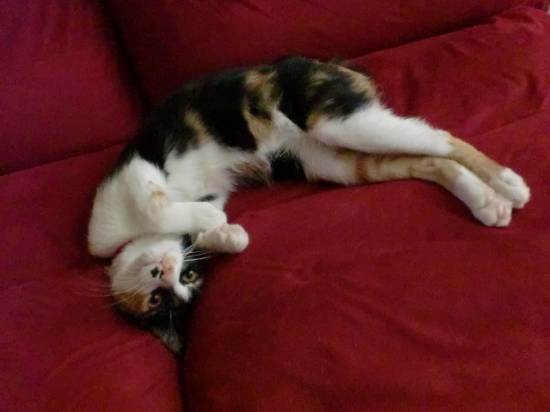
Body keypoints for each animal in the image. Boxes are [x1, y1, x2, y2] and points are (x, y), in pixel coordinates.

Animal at [88, 56, 530, 352]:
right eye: (159, 299)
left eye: (186, 277)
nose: (164, 272)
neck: (131, 240)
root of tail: (333, 63)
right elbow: (208, 217)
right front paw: (226, 234)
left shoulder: (135, 170)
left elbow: (156, 203)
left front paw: (210, 223)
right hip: (333, 161)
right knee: (430, 160)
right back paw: (487, 202)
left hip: (335, 120)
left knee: (442, 138)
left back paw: (510, 184)